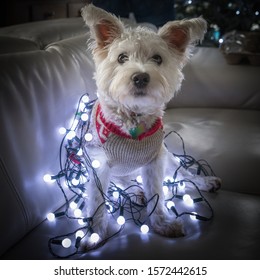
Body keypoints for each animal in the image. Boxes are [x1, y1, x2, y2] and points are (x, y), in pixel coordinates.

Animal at [80, 3, 219, 241]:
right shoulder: (99, 164)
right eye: (122, 58)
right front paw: (94, 233)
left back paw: (204, 181)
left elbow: (157, 193)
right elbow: (97, 200)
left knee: (184, 173)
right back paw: (135, 191)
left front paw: (162, 223)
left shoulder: (154, 160)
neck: (132, 117)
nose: (140, 77)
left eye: (158, 58)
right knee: (123, 182)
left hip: (168, 156)